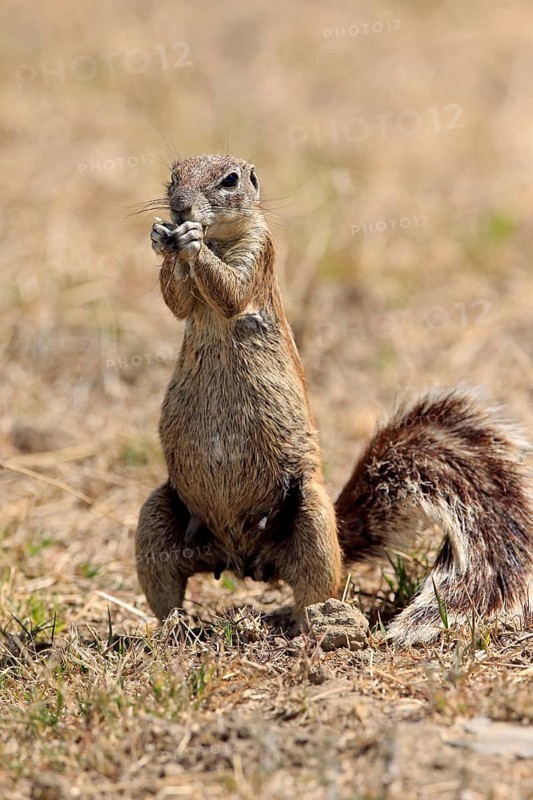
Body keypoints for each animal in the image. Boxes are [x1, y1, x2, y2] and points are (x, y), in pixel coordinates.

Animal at [136, 154, 533, 645]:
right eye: (173, 176)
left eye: (229, 181)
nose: (178, 209)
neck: (220, 237)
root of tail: (243, 558)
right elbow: (177, 302)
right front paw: (161, 238)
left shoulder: (259, 255)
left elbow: (231, 291)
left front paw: (188, 242)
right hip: (155, 521)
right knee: (166, 588)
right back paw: (169, 630)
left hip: (312, 523)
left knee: (317, 586)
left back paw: (310, 627)